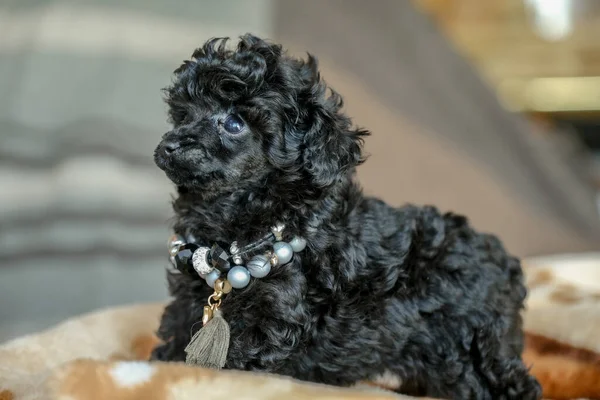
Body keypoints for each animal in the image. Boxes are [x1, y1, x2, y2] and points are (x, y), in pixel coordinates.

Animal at [151, 35, 544, 400]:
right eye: (183, 115)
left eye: (233, 123)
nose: (168, 146)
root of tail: (506, 263)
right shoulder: (188, 300)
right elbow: (176, 336)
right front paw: (162, 361)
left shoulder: (270, 317)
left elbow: (235, 361)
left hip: (477, 348)